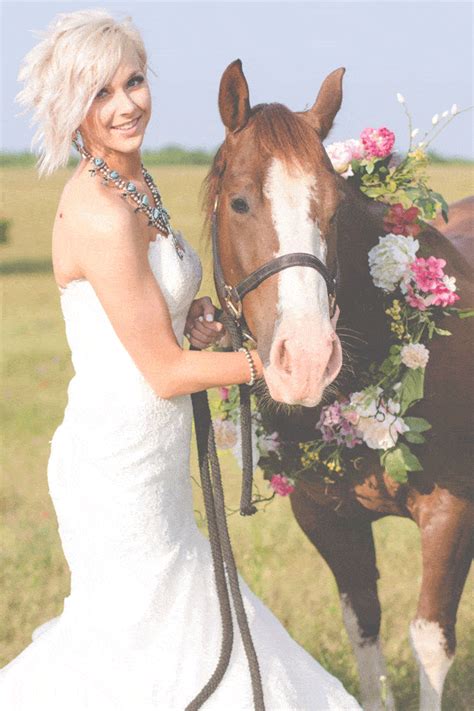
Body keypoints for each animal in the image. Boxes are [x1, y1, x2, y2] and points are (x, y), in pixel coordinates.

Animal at [206, 59, 474, 711]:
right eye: (240, 202)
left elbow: (431, 640)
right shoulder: (329, 519)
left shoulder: (452, 512)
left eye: (332, 209)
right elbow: (365, 628)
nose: (305, 360)